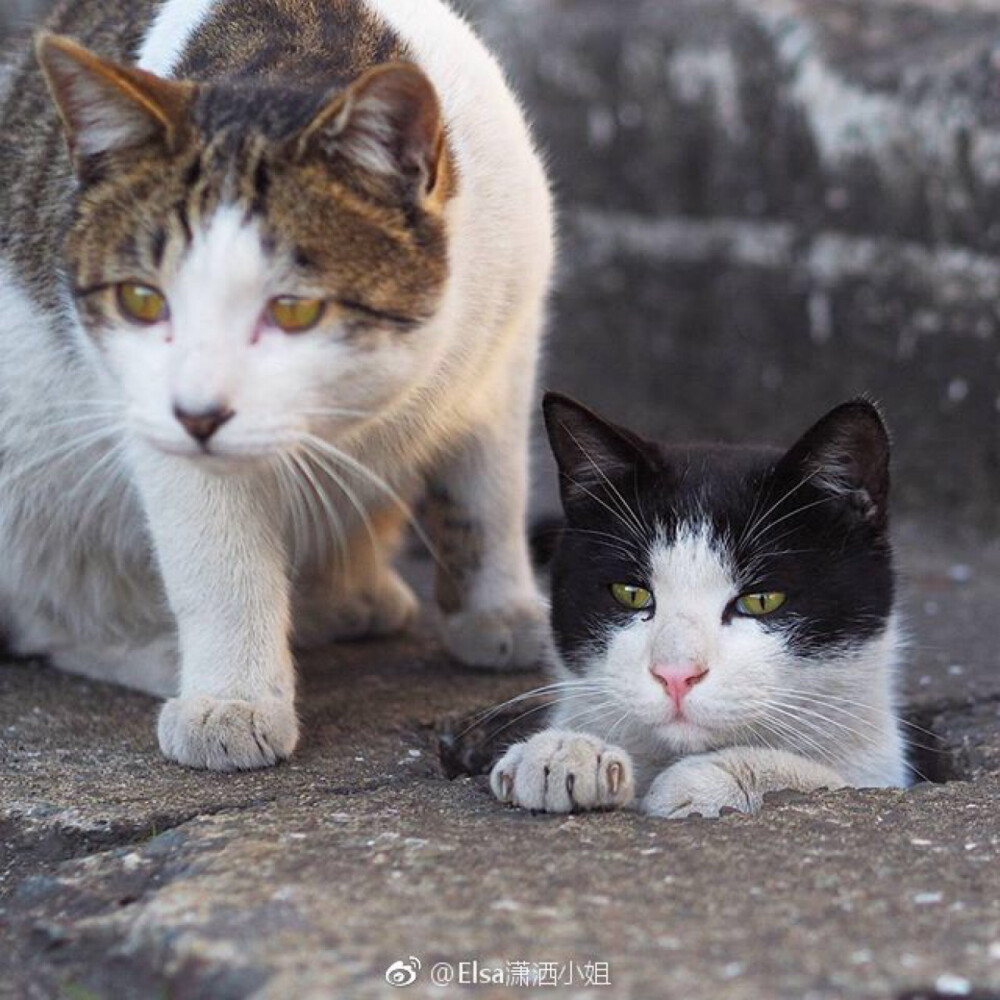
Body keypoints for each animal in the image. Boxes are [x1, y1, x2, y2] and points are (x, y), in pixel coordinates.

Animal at [0, 0, 556, 768]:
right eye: (142, 300)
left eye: (294, 309)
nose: (199, 414)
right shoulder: (153, 417)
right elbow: (218, 556)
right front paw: (231, 699)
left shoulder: (509, 337)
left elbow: (490, 488)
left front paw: (498, 611)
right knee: (42, 617)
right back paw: (158, 651)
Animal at [492, 394, 908, 816]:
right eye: (630, 593)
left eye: (762, 600)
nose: (676, 675)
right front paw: (564, 752)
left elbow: (841, 784)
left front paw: (713, 776)